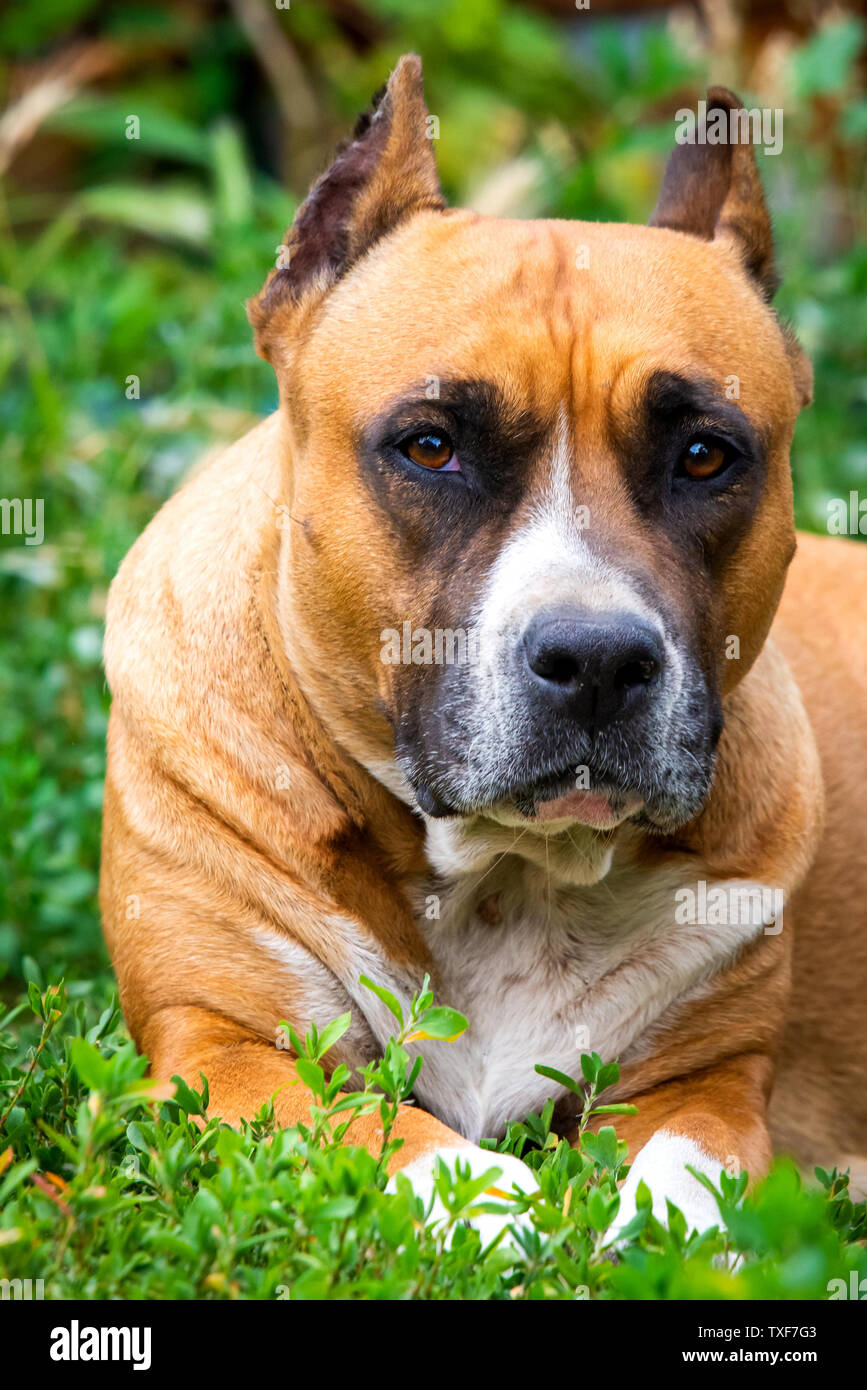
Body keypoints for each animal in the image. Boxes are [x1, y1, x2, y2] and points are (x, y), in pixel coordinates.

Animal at [100, 54, 867, 1234]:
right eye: (430, 446)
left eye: (704, 456)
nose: (597, 660)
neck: (506, 876)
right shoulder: (227, 1049)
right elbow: (385, 1141)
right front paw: (500, 1214)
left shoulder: (710, 1084)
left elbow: (684, 1188)